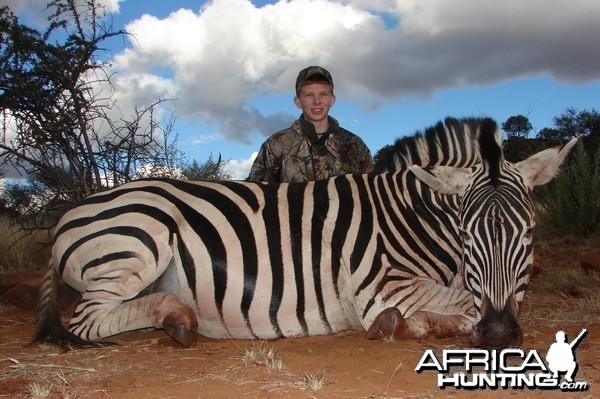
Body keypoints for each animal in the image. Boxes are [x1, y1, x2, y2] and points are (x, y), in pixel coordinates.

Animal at [36, 117, 576, 348]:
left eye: (529, 233)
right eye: (467, 235)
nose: (501, 335)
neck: (408, 216)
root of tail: (70, 211)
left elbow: (489, 299)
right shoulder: (382, 286)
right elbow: (459, 307)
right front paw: (407, 325)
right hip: (140, 240)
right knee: (85, 321)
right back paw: (178, 318)